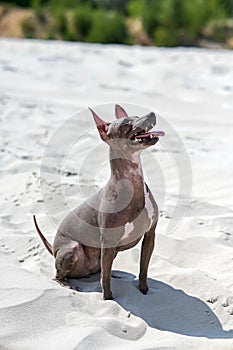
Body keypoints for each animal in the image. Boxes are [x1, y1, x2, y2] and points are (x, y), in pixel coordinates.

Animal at [33, 105, 165, 300]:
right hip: (72, 249)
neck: (132, 182)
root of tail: (53, 247)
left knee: (101, 270)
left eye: (136, 115)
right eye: (126, 123)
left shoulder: (150, 235)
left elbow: (143, 271)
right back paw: (69, 285)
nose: (152, 114)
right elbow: (106, 280)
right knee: (60, 276)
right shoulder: (108, 242)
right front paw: (108, 299)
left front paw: (144, 291)